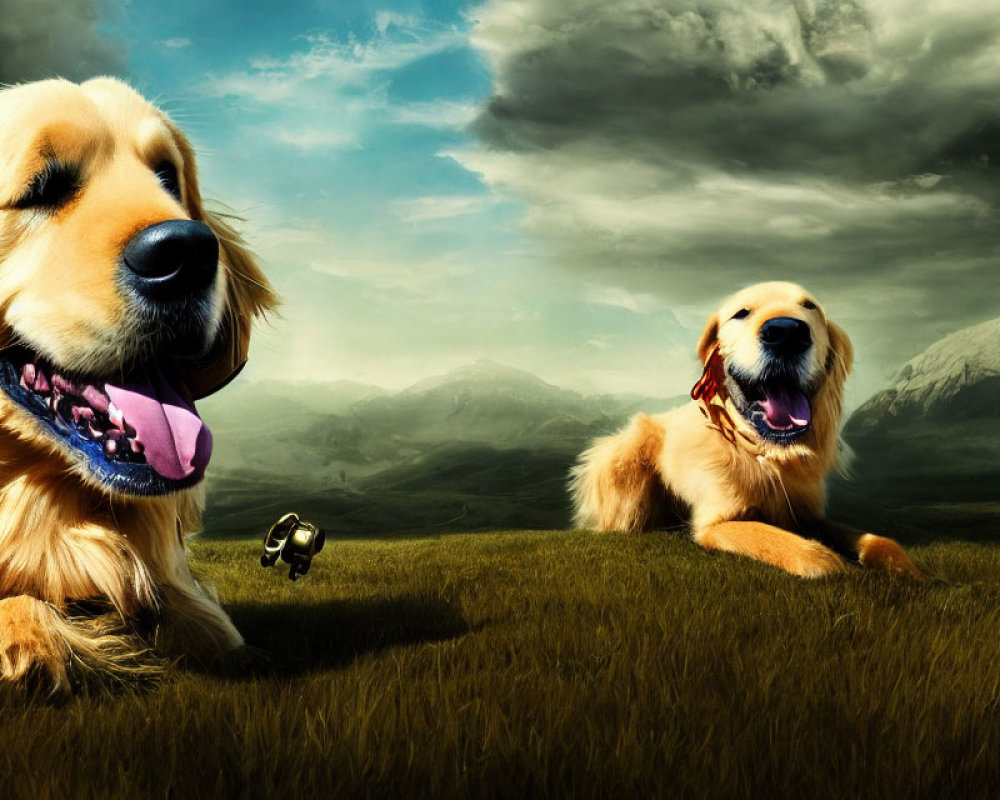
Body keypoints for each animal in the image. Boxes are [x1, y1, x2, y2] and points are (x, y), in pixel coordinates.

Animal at [576, 284, 916, 580]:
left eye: (810, 307)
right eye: (741, 313)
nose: (786, 332)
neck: (765, 453)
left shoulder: (807, 514)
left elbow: (872, 538)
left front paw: (898, 562)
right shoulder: (717, 522)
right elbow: (794, 548)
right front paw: (831, 562)